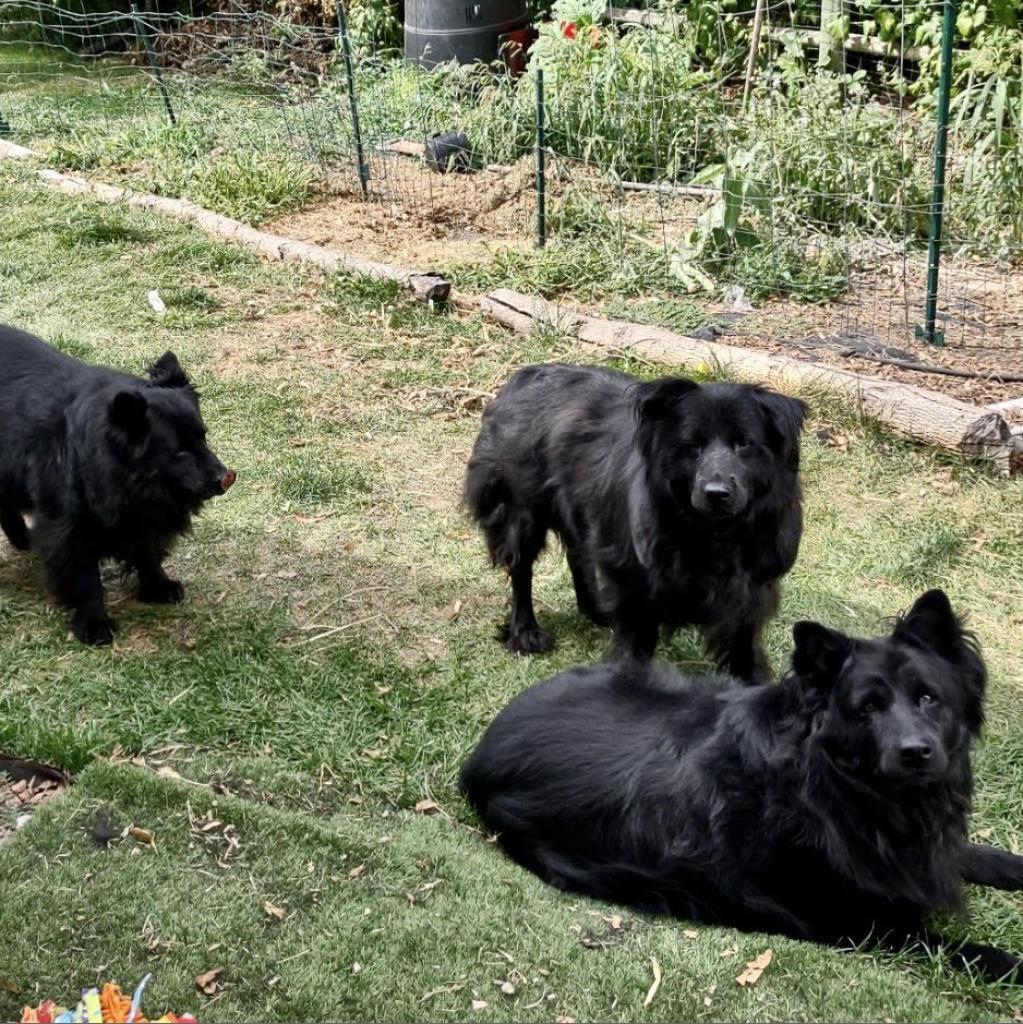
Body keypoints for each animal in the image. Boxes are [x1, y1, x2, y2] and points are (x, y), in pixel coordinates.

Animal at [0, 323, 234, 643]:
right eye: (178, 452)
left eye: (203, 437)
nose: (227, 477)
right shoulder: (72, 521)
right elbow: (84, 575)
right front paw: (94, 626)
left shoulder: (143, 511)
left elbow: (147, 549)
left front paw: (160, 587)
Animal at [460, 593, 1023, 983]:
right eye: (866, 709)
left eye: (928, 698)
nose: (916, 752)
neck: (835, 787)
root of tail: (478, 754)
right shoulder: (863, 923)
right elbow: (965, 949)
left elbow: (974, 854)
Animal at [464, 362, 806, 679]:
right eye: (692, 446)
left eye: (744, 444)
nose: (717, 494)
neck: (709, 531)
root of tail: (521, 377)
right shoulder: (634, 581)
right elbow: (633, 643)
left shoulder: (751, 589)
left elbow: (744, 644)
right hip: (518, 509)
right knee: (522, 568)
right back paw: (525, 632)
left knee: (578, 553)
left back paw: (595, 609)